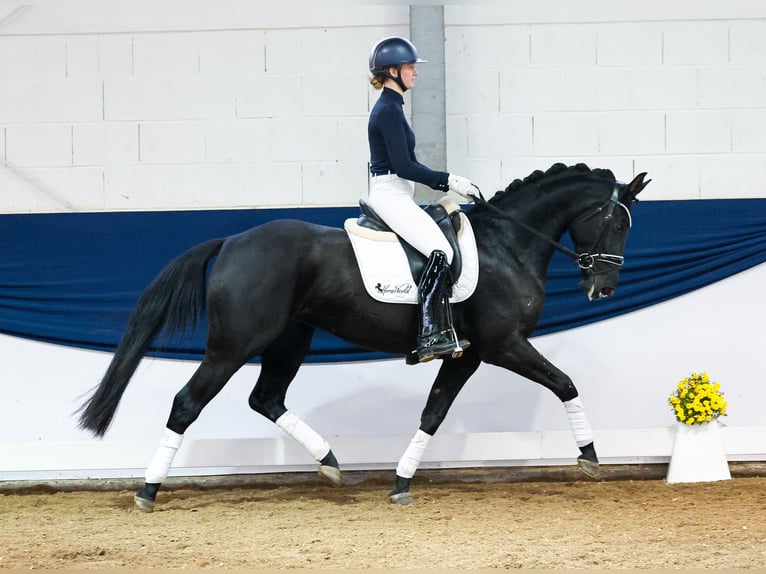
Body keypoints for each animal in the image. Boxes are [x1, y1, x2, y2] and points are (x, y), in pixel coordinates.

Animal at [78, 163, 652, 512]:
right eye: (616, 223)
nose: (603, 288)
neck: (507, 245)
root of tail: (233, 240)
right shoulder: (502, 345)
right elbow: (566, 383)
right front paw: (591, 456)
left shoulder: (464, 355)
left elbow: (433, 412)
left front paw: (400, 482)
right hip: (234, 344)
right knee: (187, 402)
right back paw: (148, 491)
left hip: (291, 339)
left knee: (267, 398)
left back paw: (331, 464)